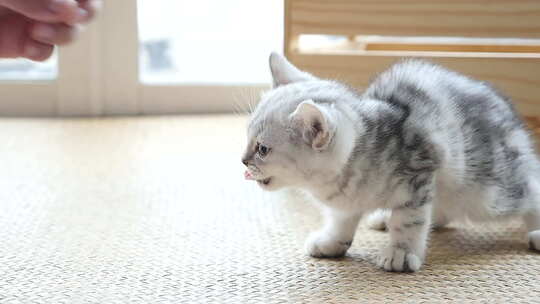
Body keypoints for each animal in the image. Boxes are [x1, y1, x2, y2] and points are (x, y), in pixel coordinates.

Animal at [242, 52, 540, 274]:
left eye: (263, 149)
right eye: (247, 136)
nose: (243, 160)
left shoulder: (419, 174)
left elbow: (409, 221)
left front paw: (401, 252)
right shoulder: (347, 203)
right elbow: (341, 220)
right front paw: (332, 242)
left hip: (487, 193)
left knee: (530, 186)